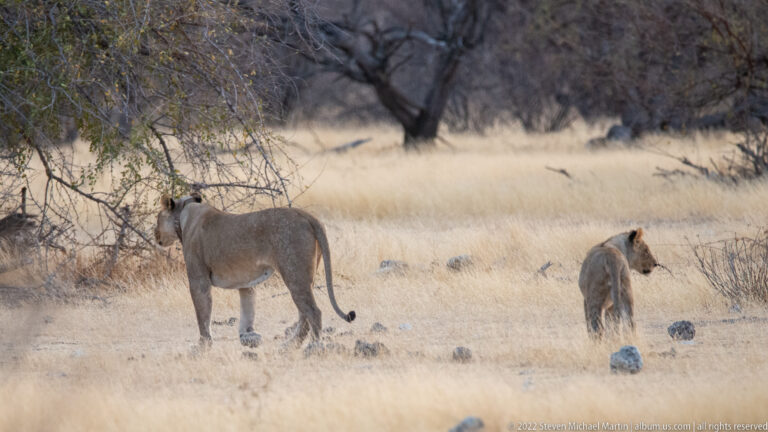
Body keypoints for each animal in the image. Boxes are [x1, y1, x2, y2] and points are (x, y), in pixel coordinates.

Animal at [154, 194, 356, 349]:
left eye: (157, 218)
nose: (155, 234)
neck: (184, 217)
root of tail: (306, 215)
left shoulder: (198, 281)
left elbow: (202, 315)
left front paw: (203, 345)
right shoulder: (245, 283)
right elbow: (247, 310)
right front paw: (246, 336)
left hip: (294, 273)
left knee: (313, 312)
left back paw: (313, 346)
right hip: (305, 277)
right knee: (304, 313)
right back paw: (290, 345)